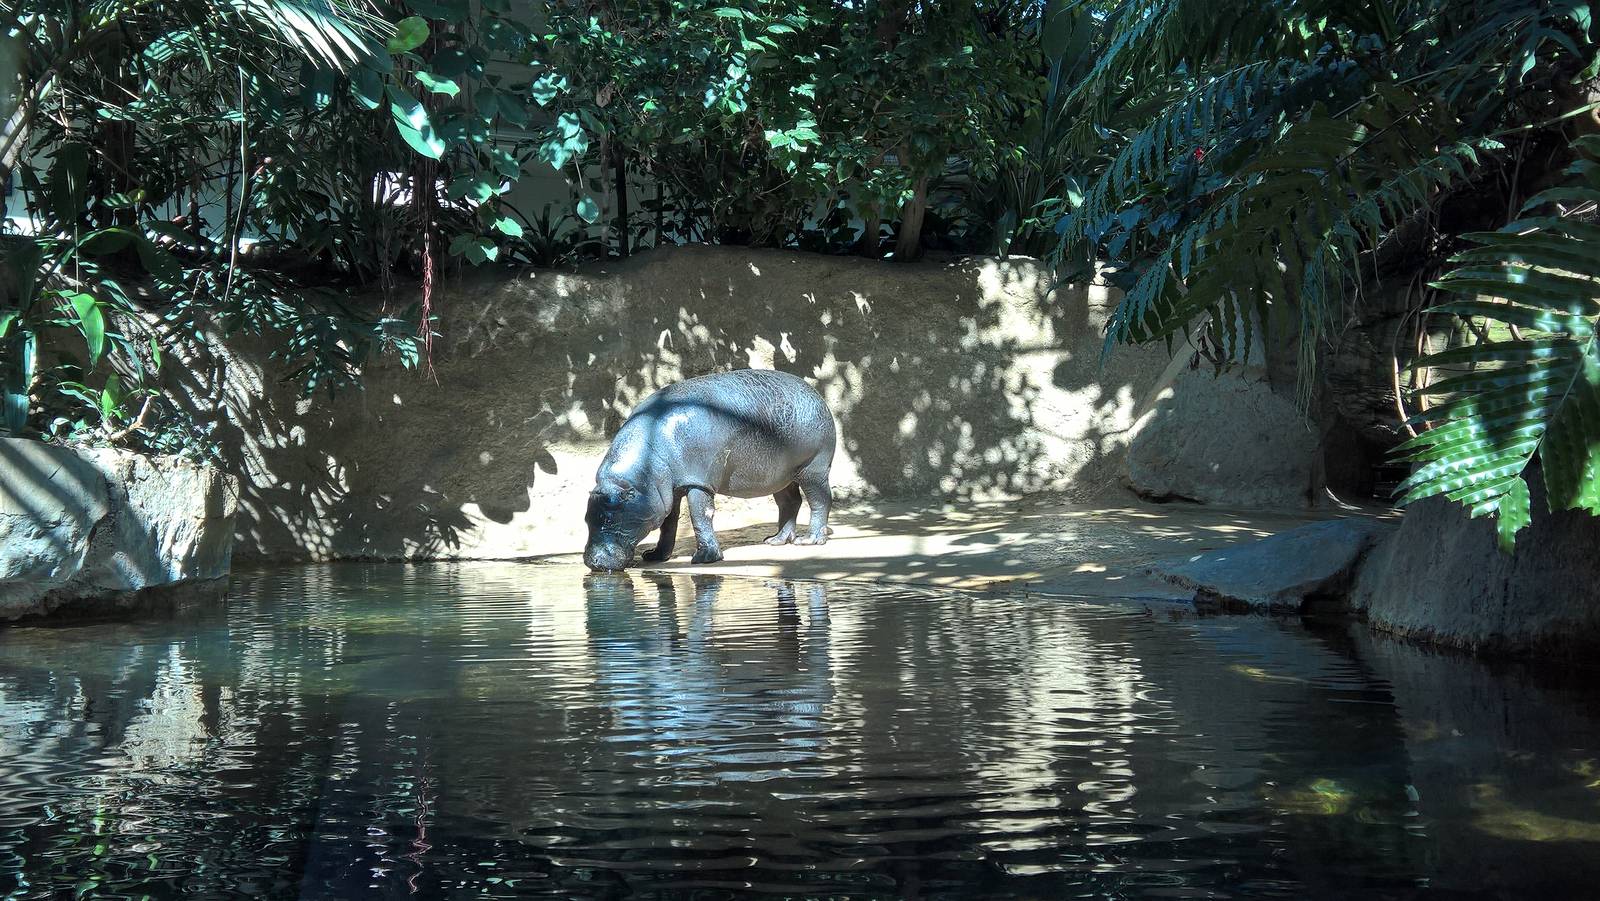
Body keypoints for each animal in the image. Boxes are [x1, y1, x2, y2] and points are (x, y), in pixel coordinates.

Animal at [582, 369, 837, 572]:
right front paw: (655, 556)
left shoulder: (698, 482)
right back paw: (775, 540)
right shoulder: (669, 490)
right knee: (790, 502)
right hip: (780, 476)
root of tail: (817, 395)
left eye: (612, 517)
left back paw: (809, 540)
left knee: (820, 500)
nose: (593, 562)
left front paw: (704, 558)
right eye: (586, 518)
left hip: (813, 469)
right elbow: (668, 523)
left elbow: (701, 515)